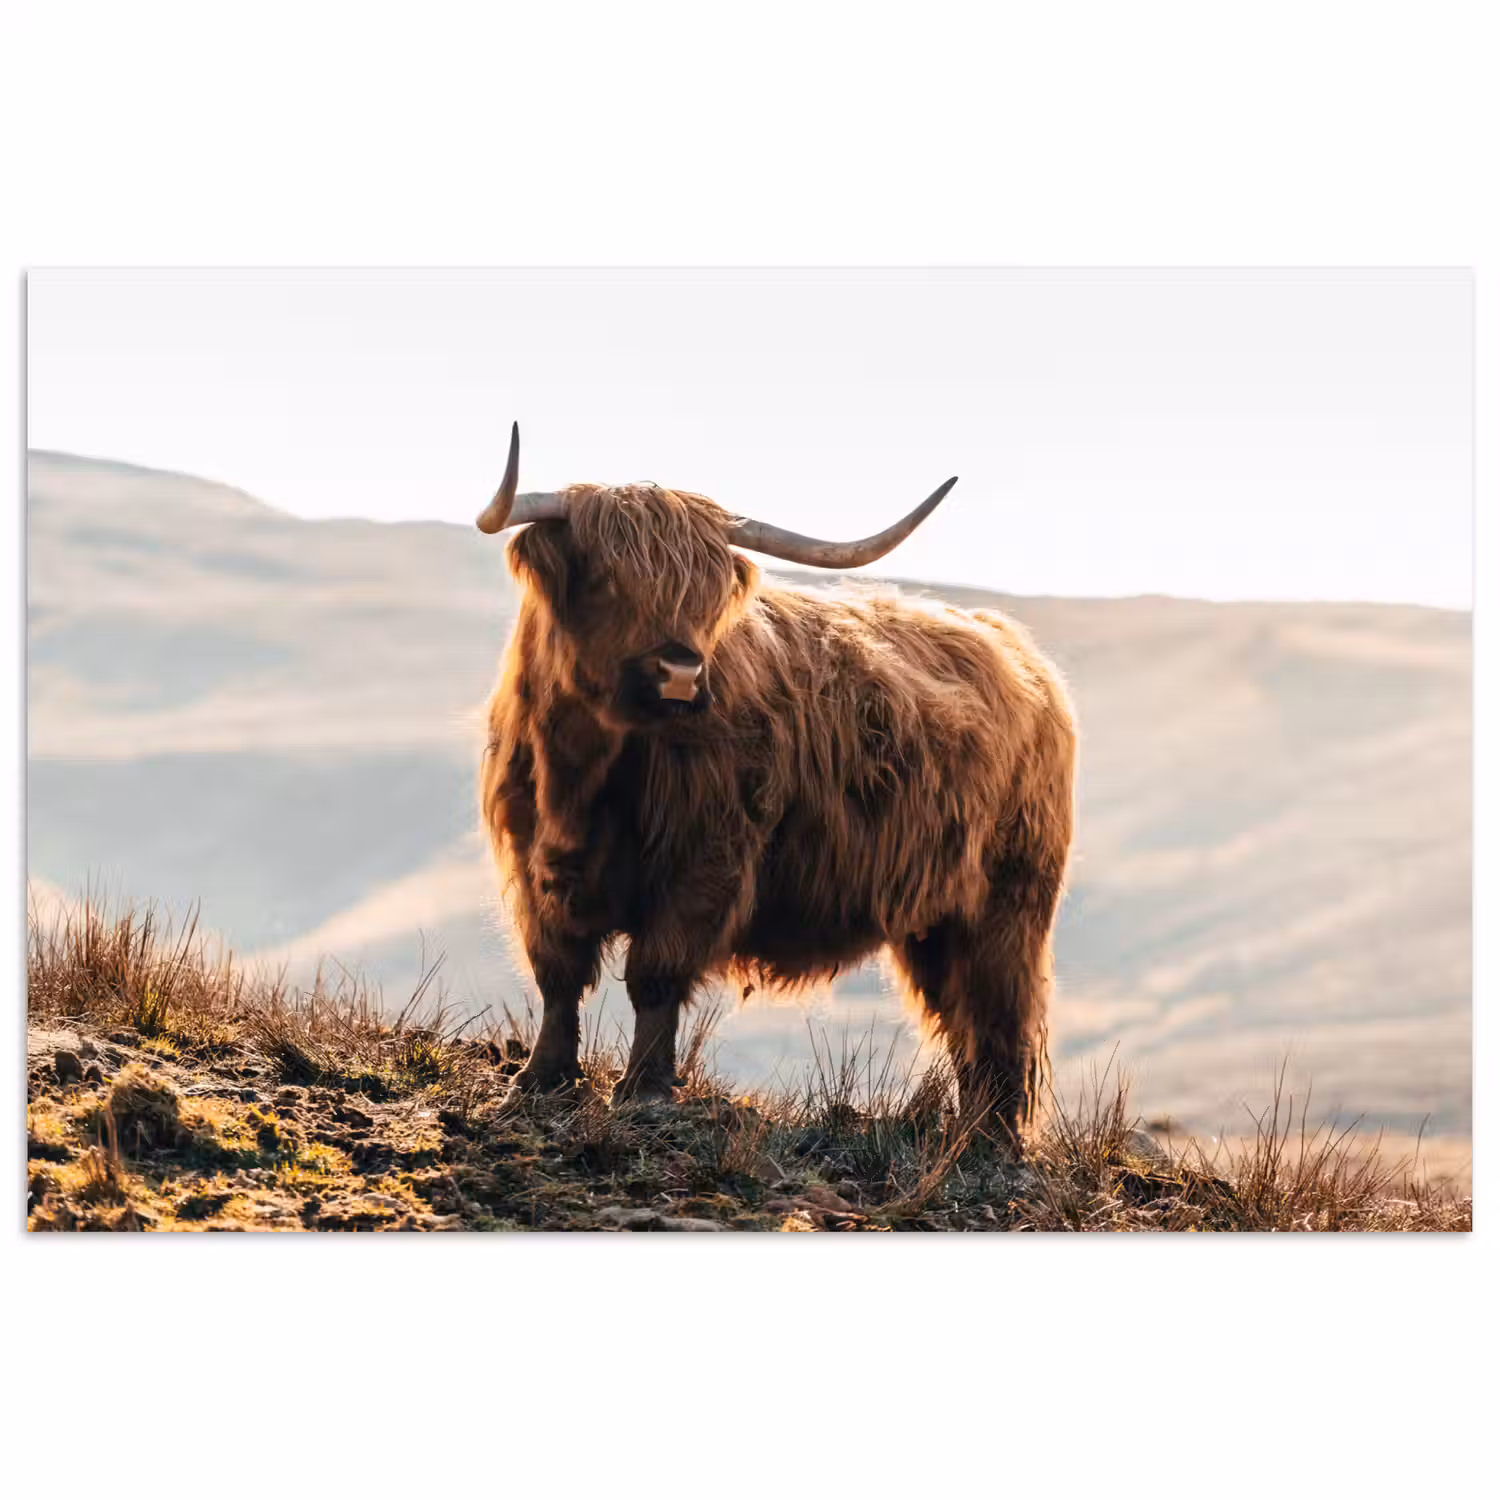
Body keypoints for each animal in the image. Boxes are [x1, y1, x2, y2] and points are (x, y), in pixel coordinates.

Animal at [478, 423, 1077, 1142]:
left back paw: (991, 1140)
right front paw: (542, 1078)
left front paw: (644, 1090)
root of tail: (1017, 650)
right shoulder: (533, 861)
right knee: (961, 1018)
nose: (681, 673)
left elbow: (656, 974)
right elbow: (558, 972)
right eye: (606, 578)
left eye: (707, 594)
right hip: (936, 920)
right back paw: (969, 1132)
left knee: (998, 1015)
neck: (584, 775)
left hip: (1007, 903)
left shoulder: (705, 861)